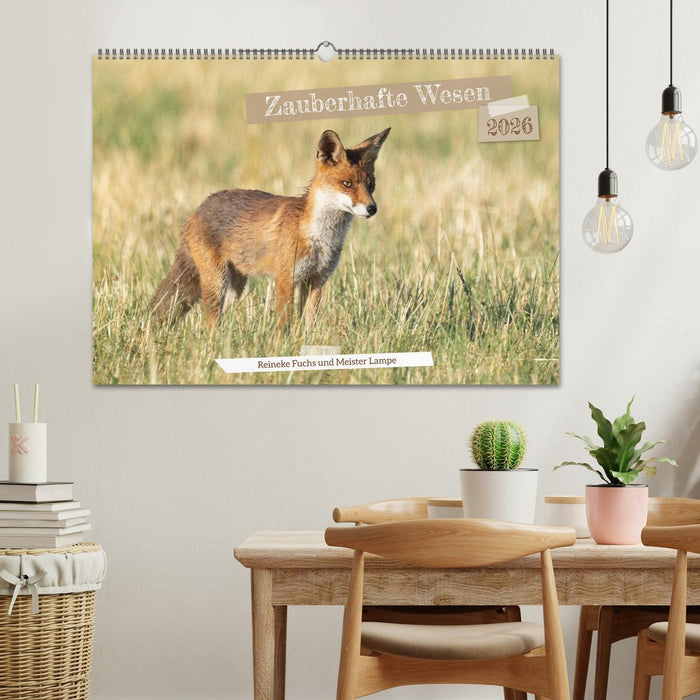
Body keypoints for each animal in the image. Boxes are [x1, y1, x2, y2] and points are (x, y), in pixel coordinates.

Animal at [150, 126, 391, 329]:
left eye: (371, 185)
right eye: (347, 184)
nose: (372, 208)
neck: (320, 238)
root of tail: (197, 210)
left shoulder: (316, 280)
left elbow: (309, 325)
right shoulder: (285, 279)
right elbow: (283, 325)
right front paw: (281, 347)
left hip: (234, 289)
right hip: (217, 282)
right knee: (207, 323)